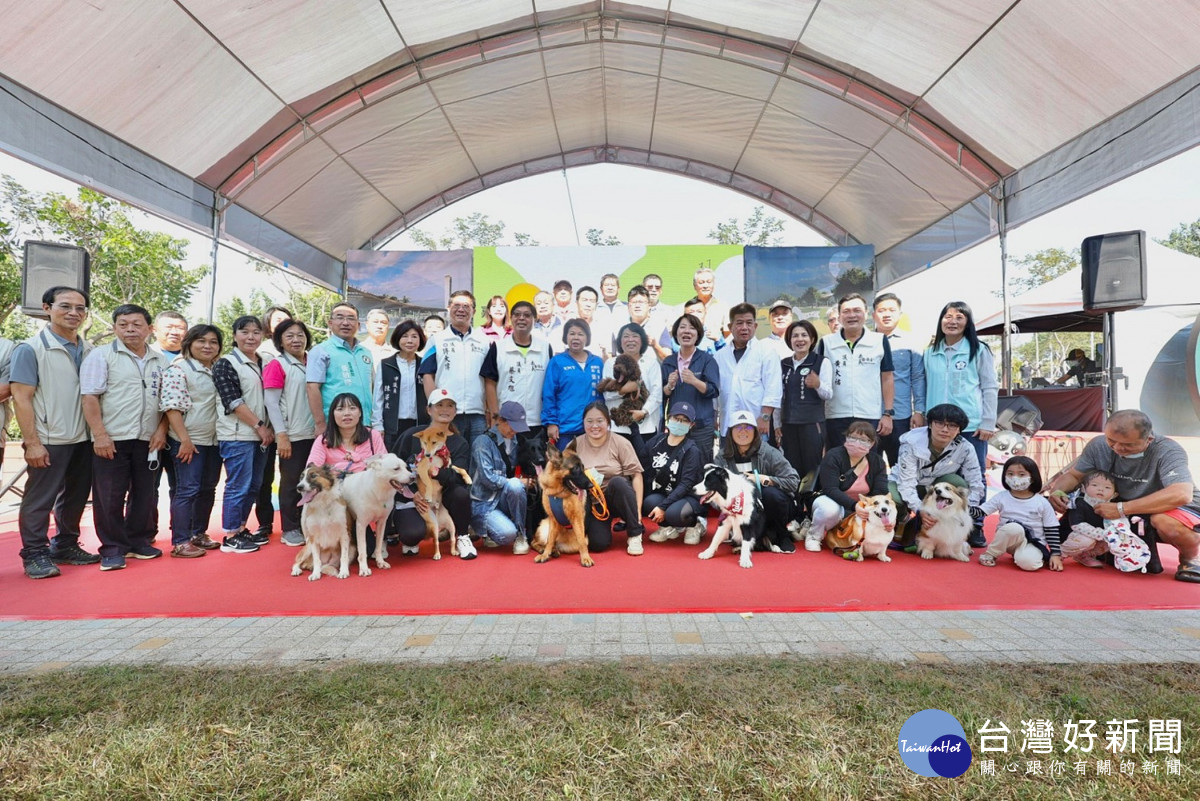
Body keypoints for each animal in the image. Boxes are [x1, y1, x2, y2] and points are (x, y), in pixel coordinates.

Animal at [412, 429, 468, 561]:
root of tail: (439, 521)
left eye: (434, 442)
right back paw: (437, 554)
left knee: (453, 539)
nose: (427, 455)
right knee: (436, 542)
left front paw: (468, 479)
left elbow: (460, 469)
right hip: (434, 527)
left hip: (452, 526)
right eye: (424, 443)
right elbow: (428, 482)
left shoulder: (449, 466)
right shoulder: (422, 470)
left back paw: (454, 551)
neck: (438, 455)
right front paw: (428, 495)